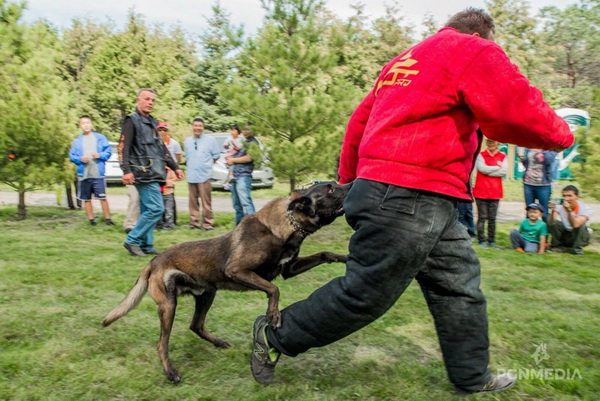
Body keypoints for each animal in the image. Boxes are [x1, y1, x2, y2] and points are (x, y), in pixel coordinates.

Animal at [101, 180, 350, 382]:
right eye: (330, 189)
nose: (352, 184)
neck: (287, 225)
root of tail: (153, 261)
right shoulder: (237, 270)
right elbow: (274, 288)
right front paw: (273, 314)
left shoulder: (289, 268)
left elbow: (323, 254)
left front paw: (344, 257)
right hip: (169, 306)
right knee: (162, 343)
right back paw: (171, 372)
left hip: (207, 294)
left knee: (195, 325)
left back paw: (218, 342)